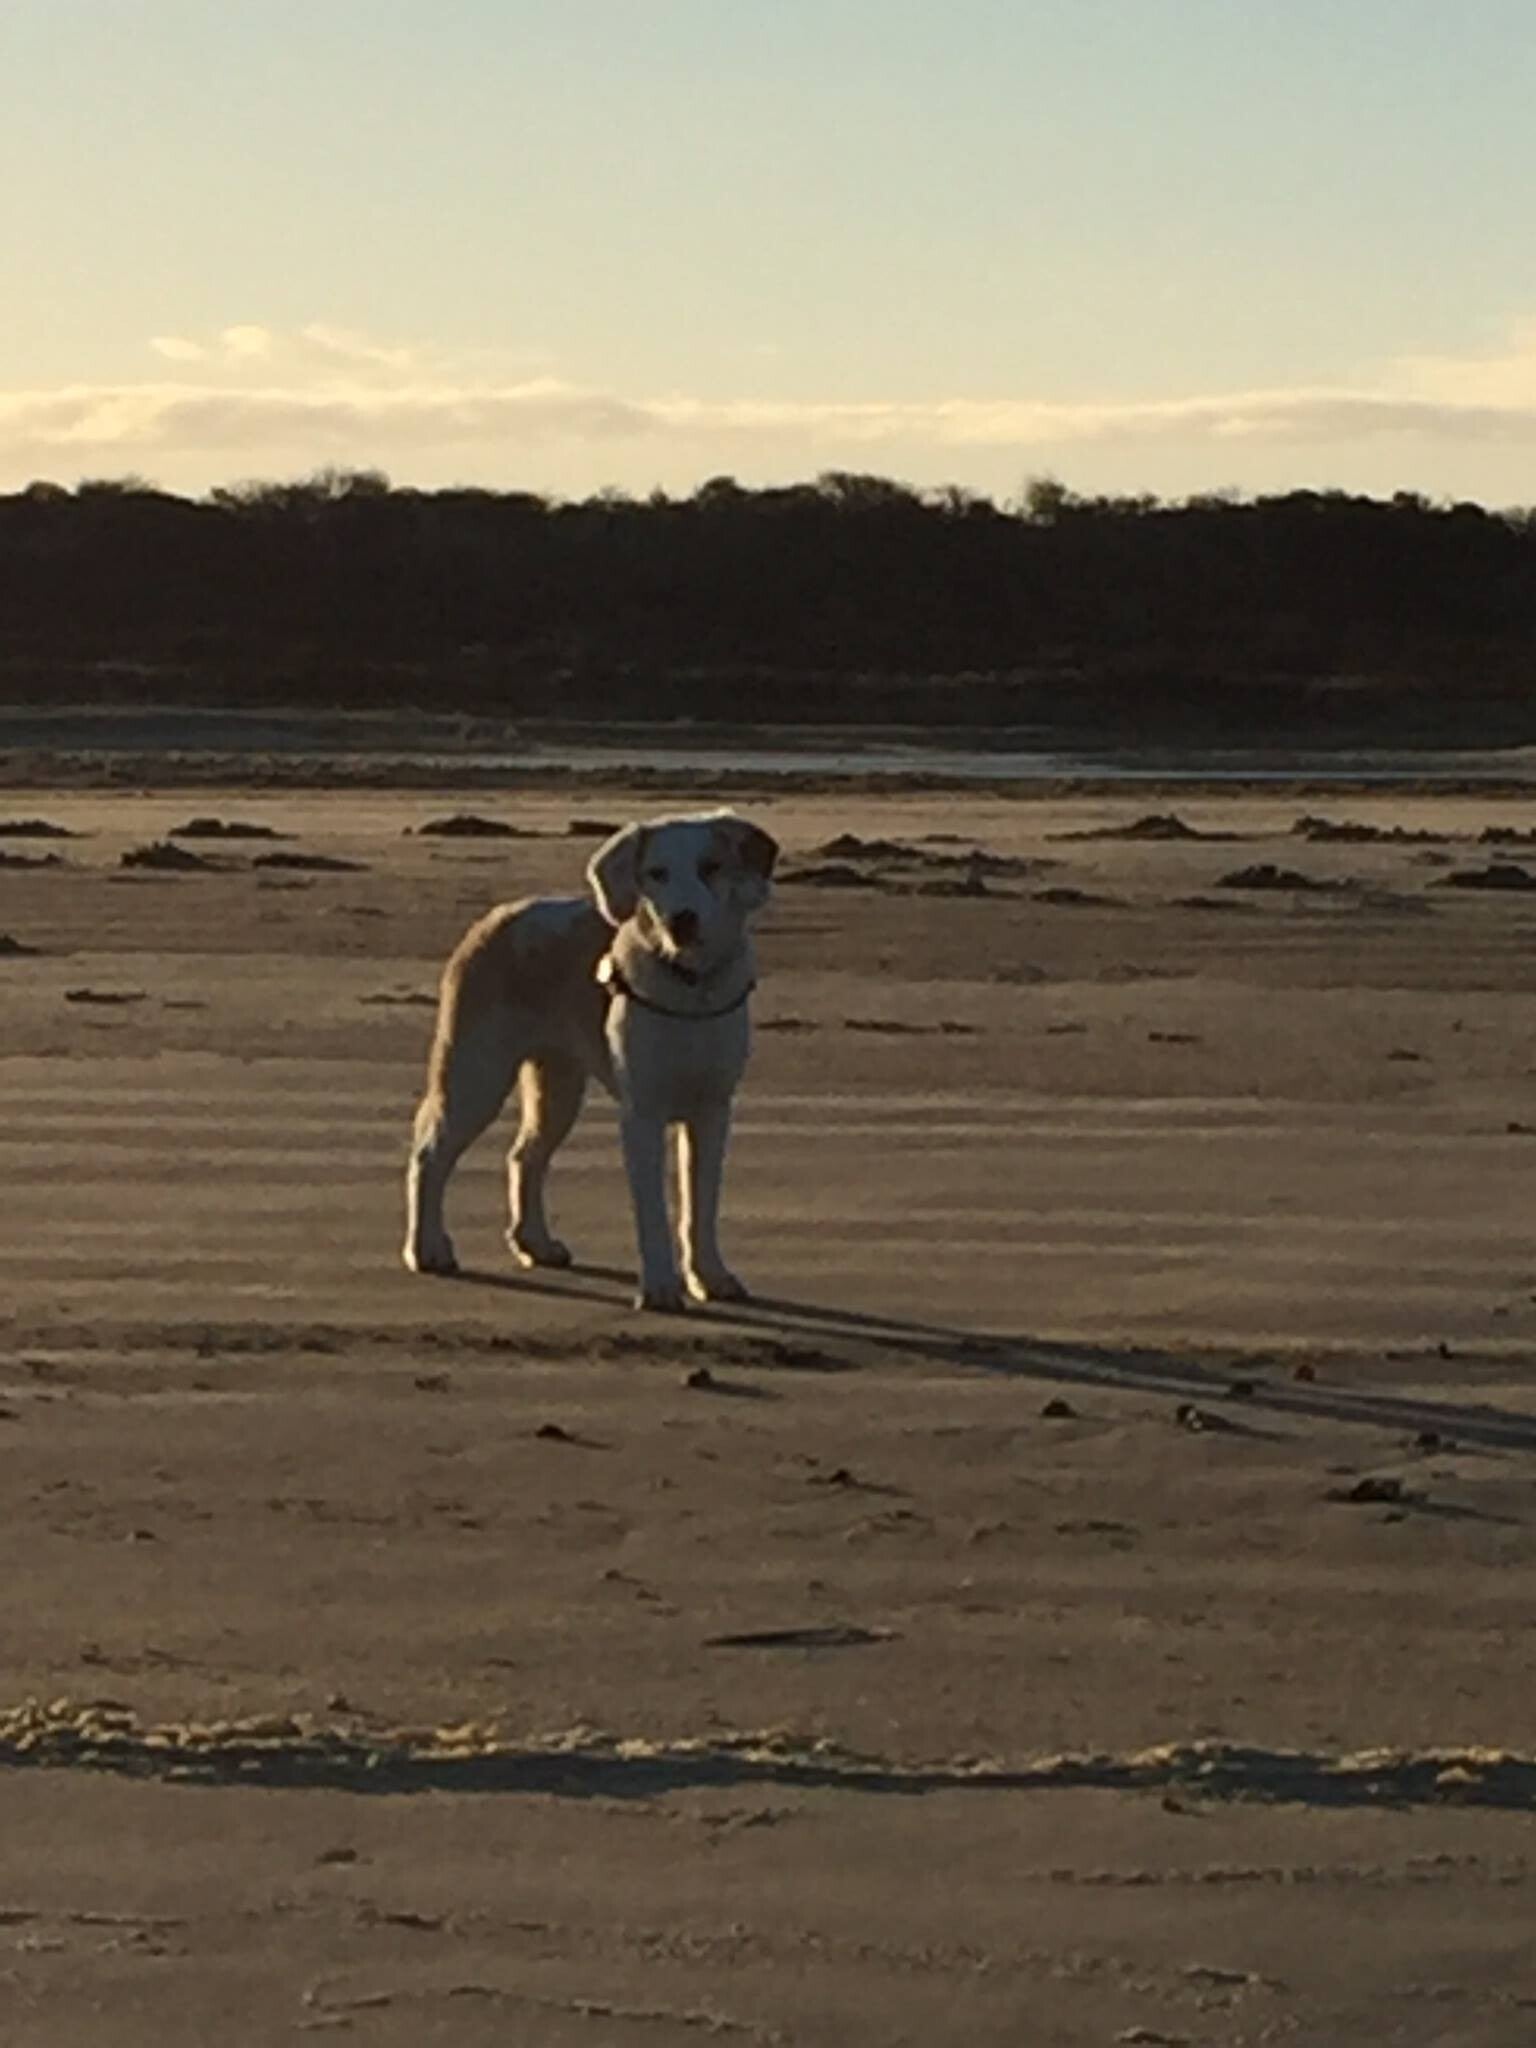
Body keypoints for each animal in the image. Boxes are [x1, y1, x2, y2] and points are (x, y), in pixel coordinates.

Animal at [402, 810, 778, 1310]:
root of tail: (495, 918)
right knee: (430, 1155)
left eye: (711, 868)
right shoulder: (642, 1113)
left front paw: (710, 1276)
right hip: (475, 1075)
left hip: (558, 1084)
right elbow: (653, 1213)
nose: (681, 921)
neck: (691, 988)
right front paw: (660, 1287)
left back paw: (535, 1243)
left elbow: (701, 1205)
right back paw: (427, 1249)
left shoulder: (713, 1111)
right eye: (656, 873)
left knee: (524, 1155)